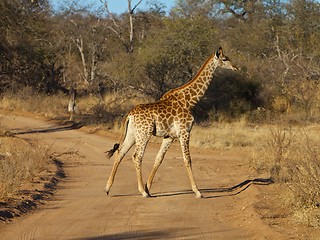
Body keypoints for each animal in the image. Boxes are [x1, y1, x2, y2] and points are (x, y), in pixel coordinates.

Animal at [105, 47, 238, 199]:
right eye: (225, 59)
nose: (236, 67)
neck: (189, 100)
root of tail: (129, 115)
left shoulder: (169, 136)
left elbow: (159, 158)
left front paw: (148, 188)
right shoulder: (184, 132)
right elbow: (187, 159)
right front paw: (198, 192)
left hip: (133, 134)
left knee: (120, 152)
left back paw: (108, 188)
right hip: (144, 134)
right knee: (136, 156)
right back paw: (141, 191)